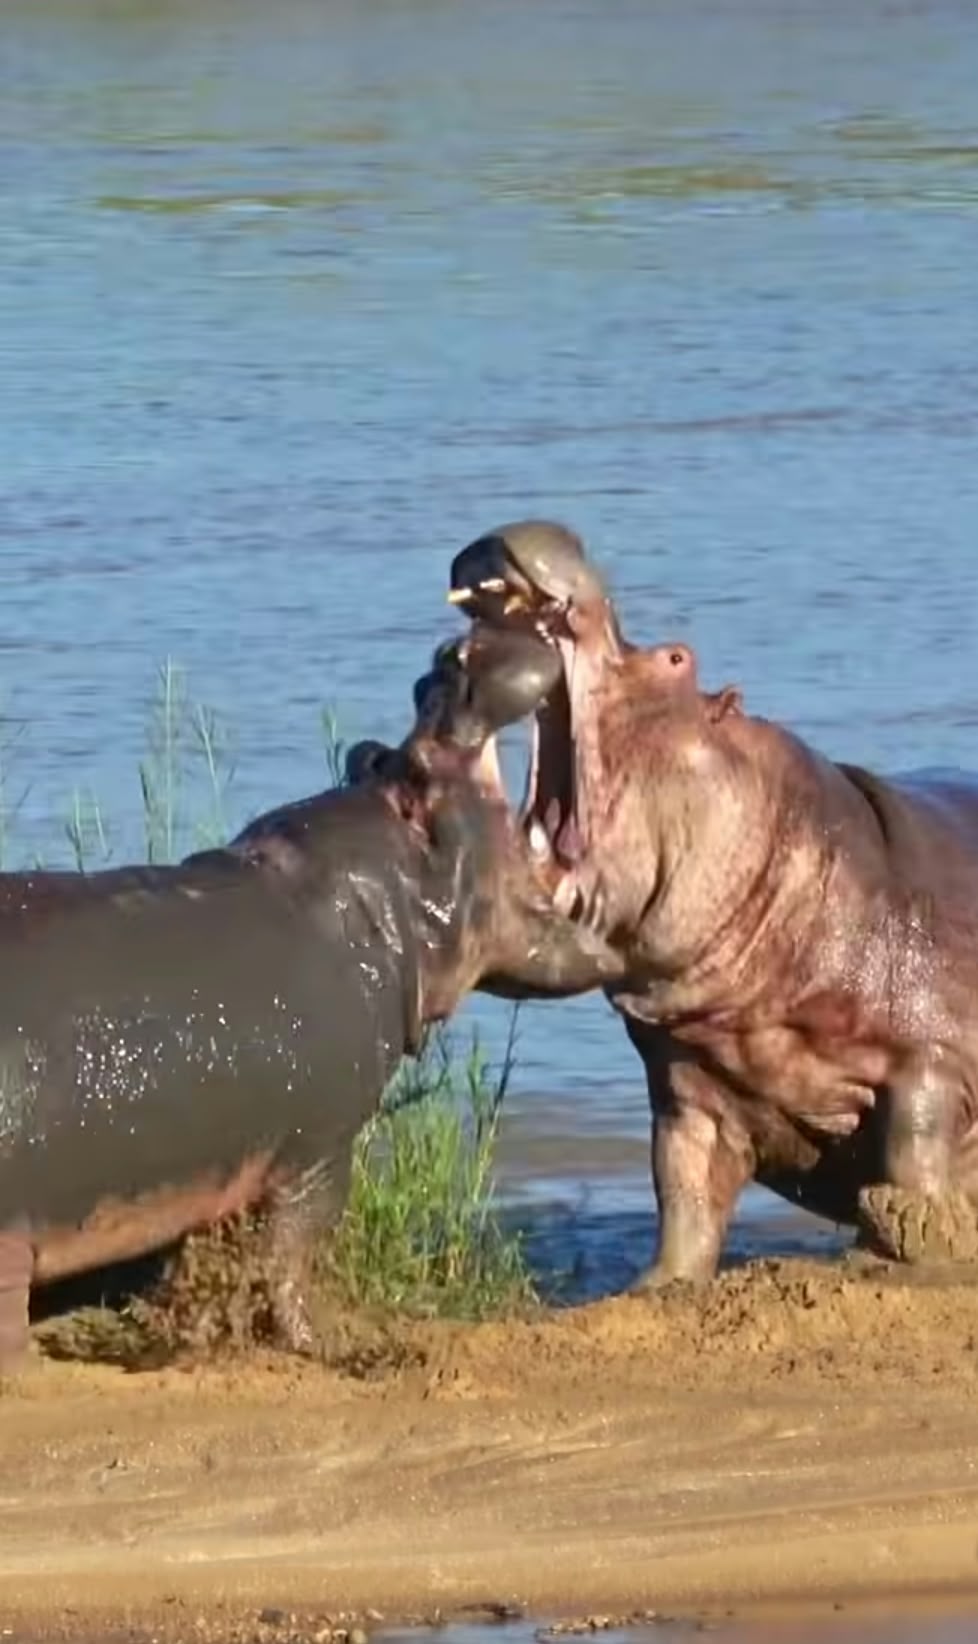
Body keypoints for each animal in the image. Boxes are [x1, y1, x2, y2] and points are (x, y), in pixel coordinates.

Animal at [0, 626, 621, 1368]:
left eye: (371, 754)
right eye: (422, 763)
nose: (454, 654)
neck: (381, 901)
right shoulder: (320, 1144)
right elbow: (292, 1252)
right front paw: (318, 1344)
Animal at [447, 520, 978, 1284]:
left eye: (677, 656)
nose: (558, 530)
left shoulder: (930, 1062)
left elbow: (913, 1160)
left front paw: (902, 1253)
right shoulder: (688, 1090)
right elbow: (684, 1191)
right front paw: (657, 1287)